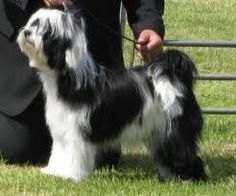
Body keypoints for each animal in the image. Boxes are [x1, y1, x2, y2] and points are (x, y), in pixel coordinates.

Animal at [17, 8, 207, 181]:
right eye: (33, 23)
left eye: (46, 30)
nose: (26, 32)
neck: (70, 78)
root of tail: (173, 78)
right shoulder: (62, 129)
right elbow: (60, 152)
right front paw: (55, 171)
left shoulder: (77, 131)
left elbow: (74, 154)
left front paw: (71, 175)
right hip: (158, 133)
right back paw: (170, 176)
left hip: (175, 131)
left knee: (187, 154)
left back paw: (192, 178)